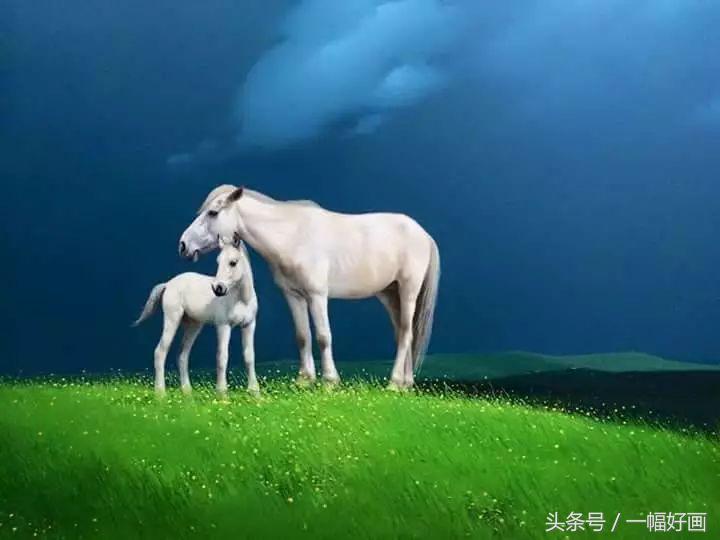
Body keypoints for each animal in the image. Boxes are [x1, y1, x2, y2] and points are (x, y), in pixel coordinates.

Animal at [133, 238, 259, 396]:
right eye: (218, 261)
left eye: (233, 262)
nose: (218, 289)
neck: (241, 299)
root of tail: (168, 284)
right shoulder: (223, 326)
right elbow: (222, 357)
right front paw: (222, 393)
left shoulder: (249, 325)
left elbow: (249, 356)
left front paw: (255, 393)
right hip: (172, 319)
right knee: (160, 352)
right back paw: (160, 392)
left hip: (193, 325)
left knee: (182, 355)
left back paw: (187, 392)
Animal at [179, 185, 439, 390]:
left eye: (213, 212)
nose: (183, 245)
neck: (292, 235)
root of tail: (424, 234)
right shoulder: (294, 296)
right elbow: (302, 335)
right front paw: (305, 380)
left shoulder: (317, 296)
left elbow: (323, 336)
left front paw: (330, 381)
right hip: (390, 294)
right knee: (403, 333)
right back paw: (406, 383)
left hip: (408, 291)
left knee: (405, 333)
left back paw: (394, 383)